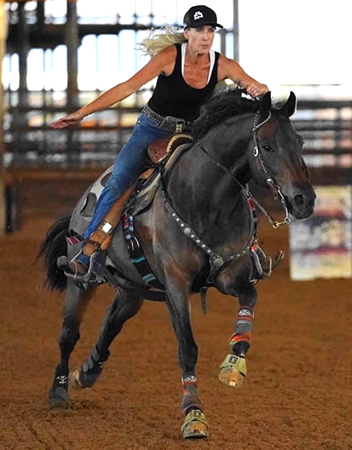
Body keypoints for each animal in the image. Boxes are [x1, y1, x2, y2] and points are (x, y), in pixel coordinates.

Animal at [40, 91, 314, 440]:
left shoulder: (229, 276)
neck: (205, 199)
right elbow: (188, 348)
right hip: (81, 281)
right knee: (68, 335)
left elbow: (249, 299)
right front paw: (194, 416)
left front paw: (233, 365)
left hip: (132, 291)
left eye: (299, 142)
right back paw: (59, 392)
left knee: (110, 325)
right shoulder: (175, 286)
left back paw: (86, 372)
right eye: (266, 146)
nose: (305, 200)